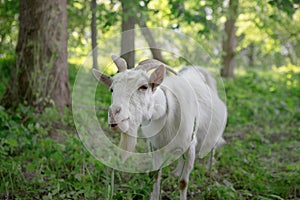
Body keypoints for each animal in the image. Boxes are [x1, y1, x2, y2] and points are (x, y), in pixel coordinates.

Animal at [92, 55, 226, 200]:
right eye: (112, 89)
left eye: (144, 87)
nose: (113, 113)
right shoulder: (155, 146)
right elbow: (155, 175)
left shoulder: (190, 146)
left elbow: (183, 182)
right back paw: (177, 171)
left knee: (212, 147)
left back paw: (209, 169)